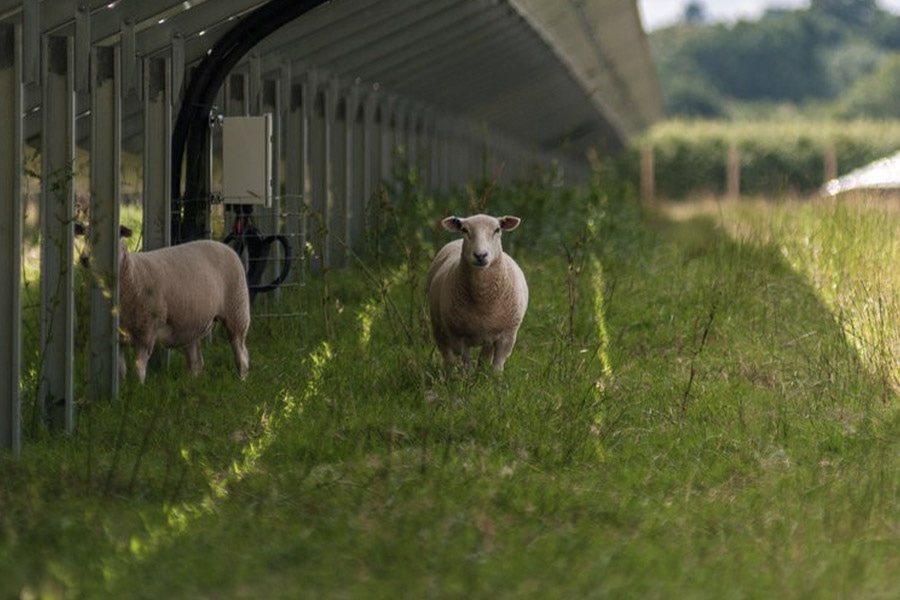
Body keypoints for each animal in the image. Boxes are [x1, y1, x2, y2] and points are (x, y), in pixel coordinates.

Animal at [116, 232, 251, 382]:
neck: (133, 274)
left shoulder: (147, 331)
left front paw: (138, 385)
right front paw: (123, 385)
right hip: (194, 322)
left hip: (237, 309)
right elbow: (121, 369)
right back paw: (191, 382)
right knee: (196, 361)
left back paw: (242, 378)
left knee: (241, 351)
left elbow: (138, 367)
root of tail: (223, 245)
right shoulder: (120, 337)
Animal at [428, 211, 528, 370]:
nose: (480, 255)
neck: (483, 297)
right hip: (436, 324)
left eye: (497, 230)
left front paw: (493, 377)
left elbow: (497, 367)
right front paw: (467, 376)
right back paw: (450, 372)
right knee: (446, 354)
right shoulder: (459, 337)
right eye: (464, 230)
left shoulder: (507, 336)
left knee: (485, 357)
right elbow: (466, 364)